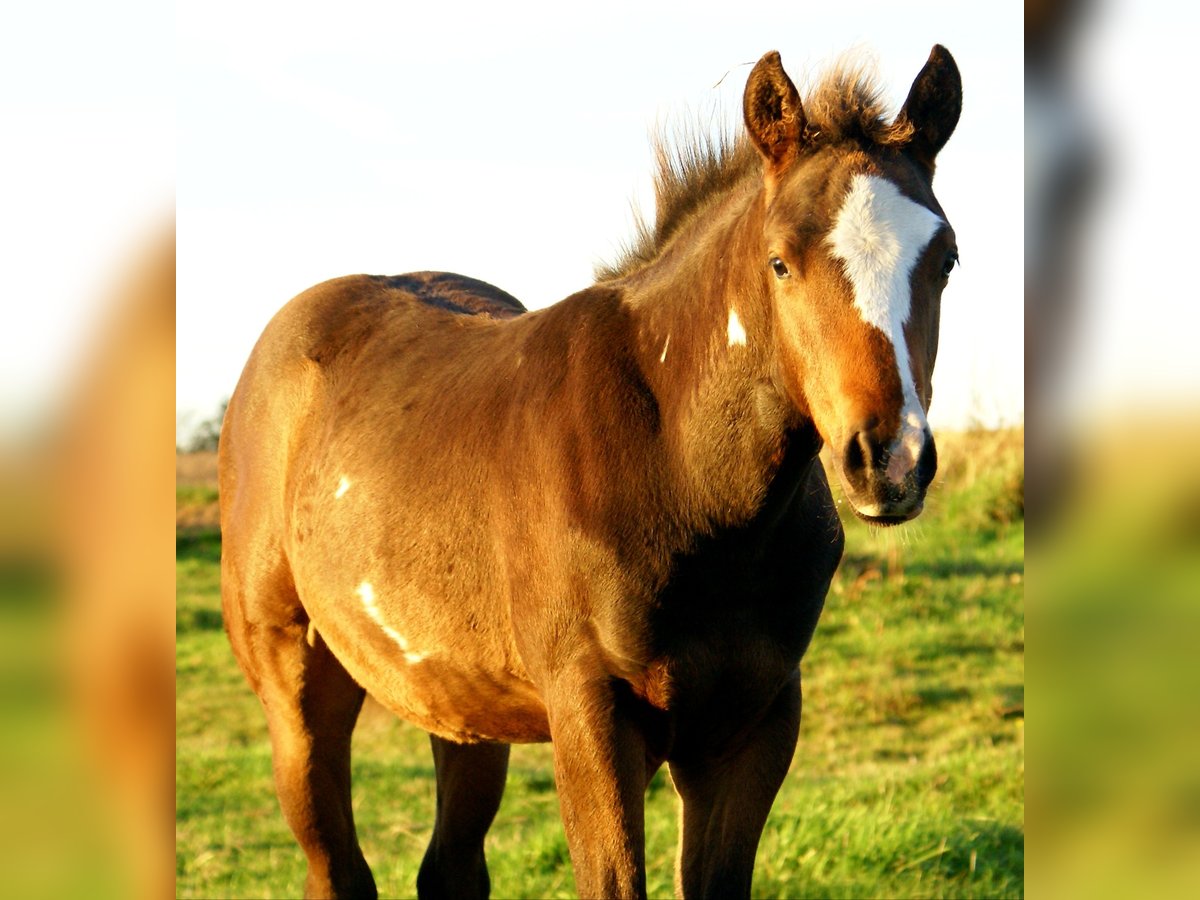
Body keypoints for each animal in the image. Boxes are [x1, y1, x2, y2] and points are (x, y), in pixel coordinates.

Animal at [219, 45, 962, 899]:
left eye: (946, 258)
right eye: (781, 261)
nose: (890, 460)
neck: (679, 473)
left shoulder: (753, 725)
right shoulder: (592, 714)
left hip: (465, 707)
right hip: (296, 685)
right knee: (336, 866)